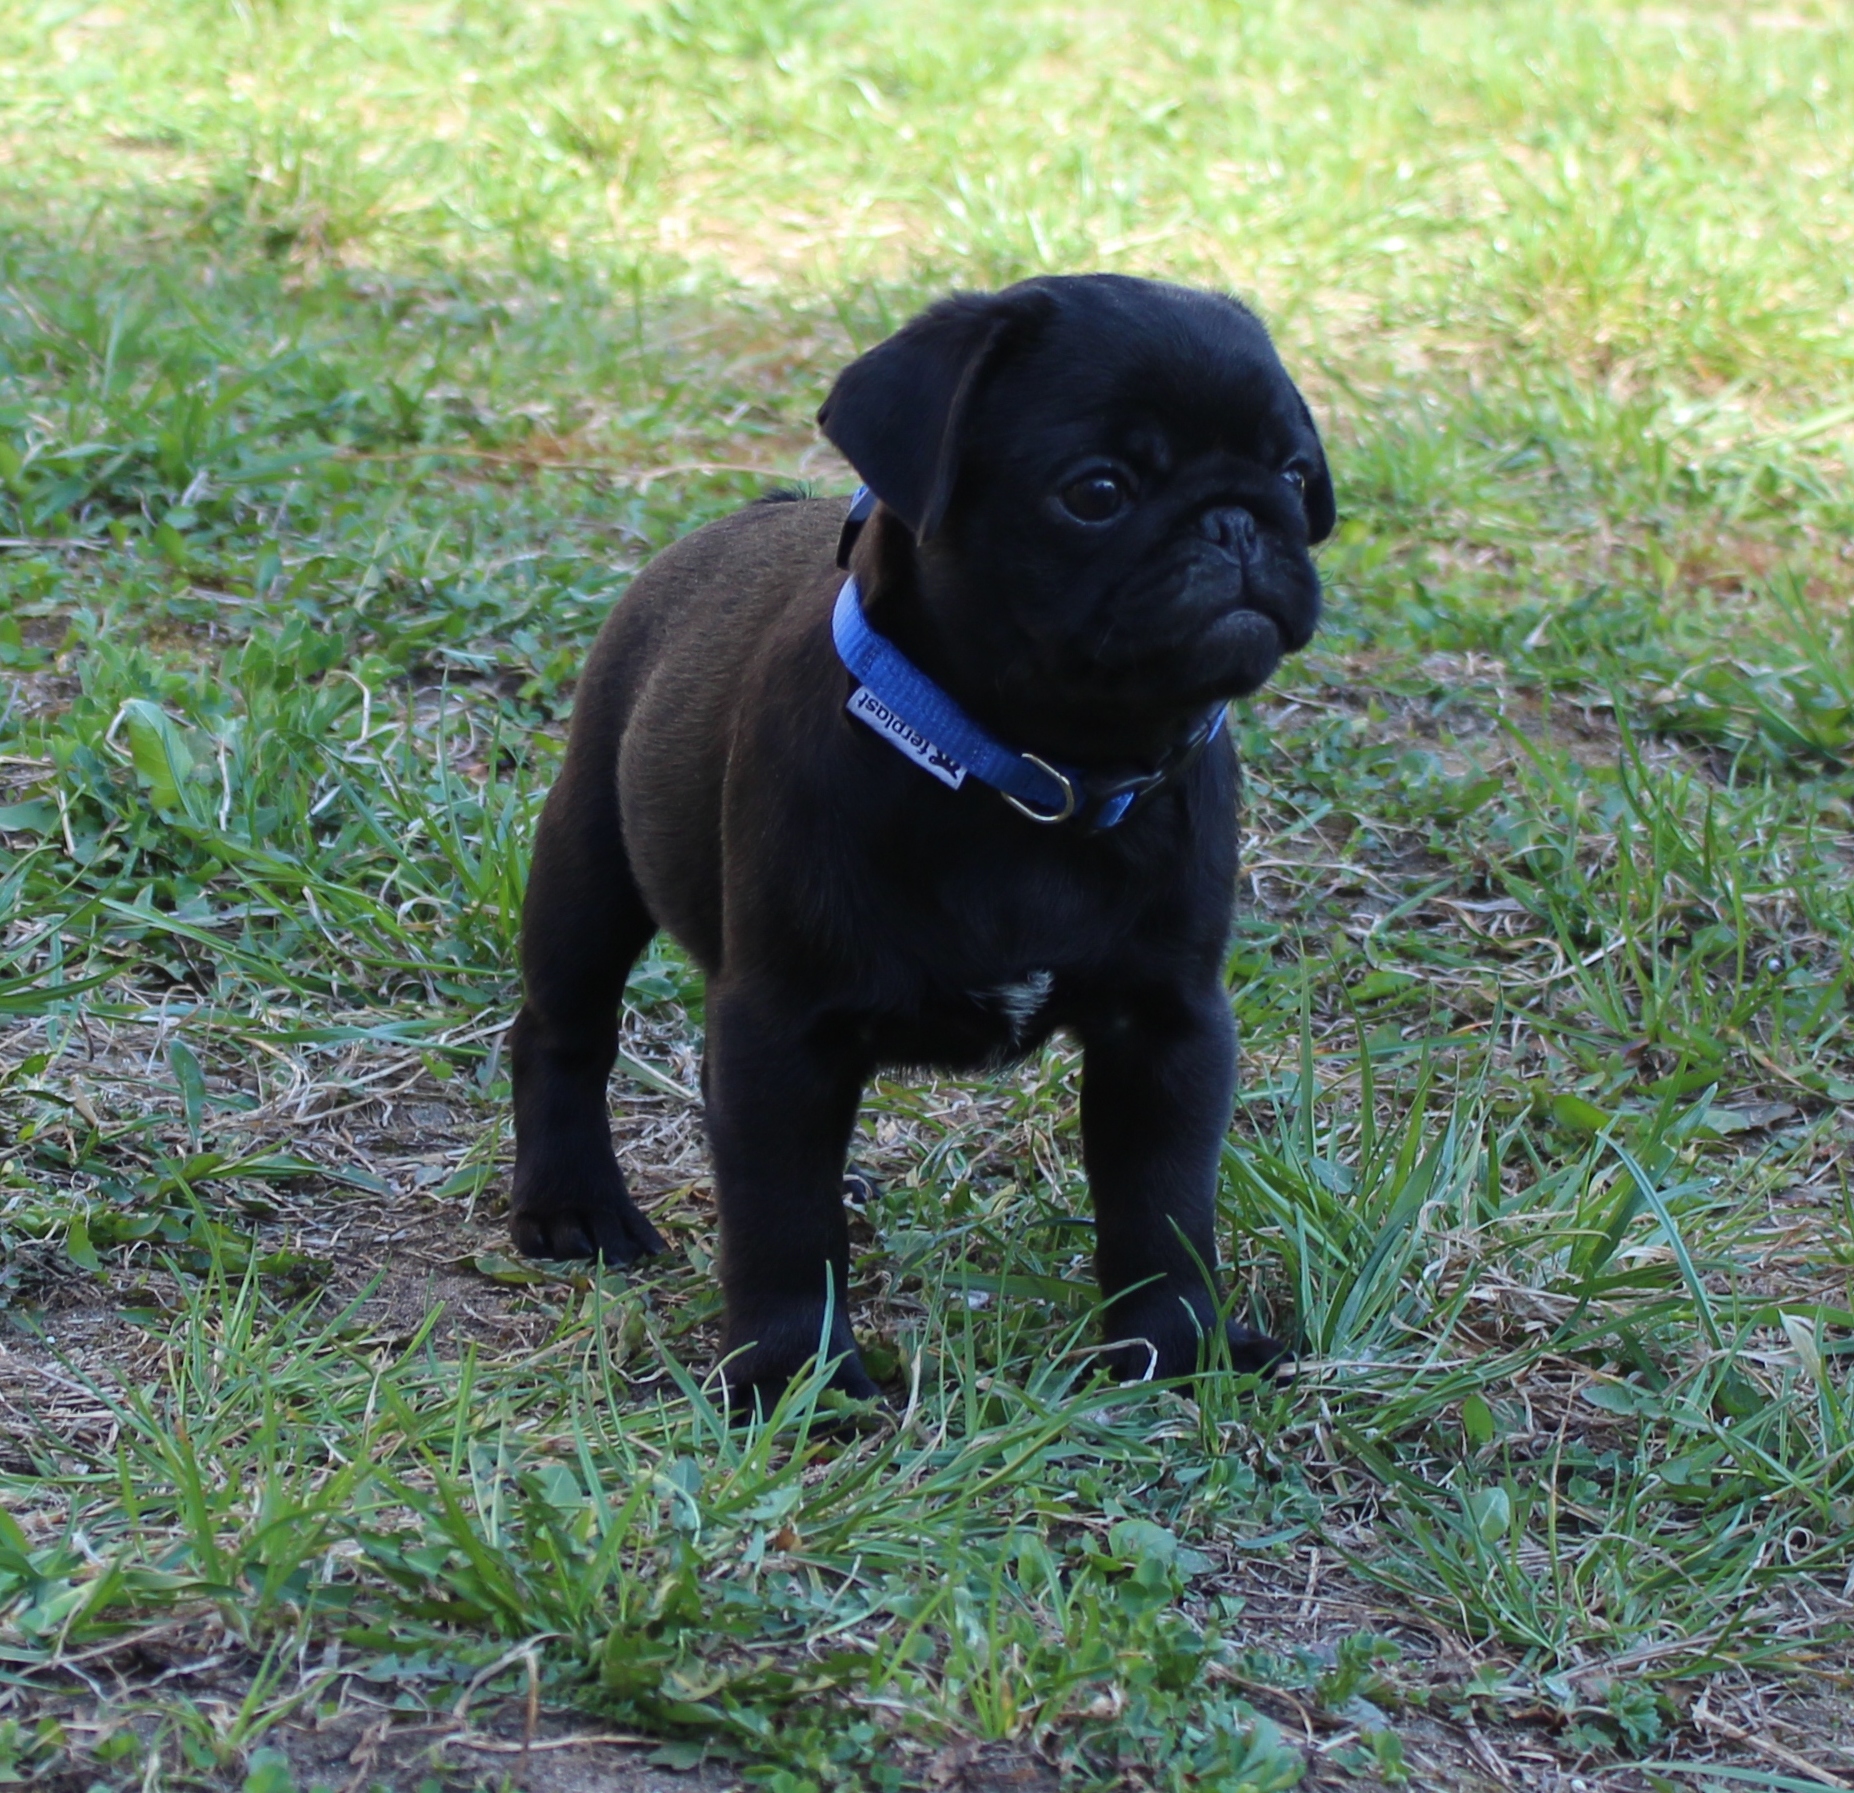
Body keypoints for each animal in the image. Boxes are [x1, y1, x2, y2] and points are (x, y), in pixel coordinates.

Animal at [507, 273, 1333, 1406]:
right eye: (1098, 491)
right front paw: (795, 1379)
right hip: (589, 863)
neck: (1038, 767)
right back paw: (572, 1203)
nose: (1239, 521)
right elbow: (781, 1220)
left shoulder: (1166, 1027)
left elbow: (1163, 1205)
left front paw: (1180, 1348)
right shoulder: (782, 1027)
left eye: (1297, 476)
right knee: (563, 1029)